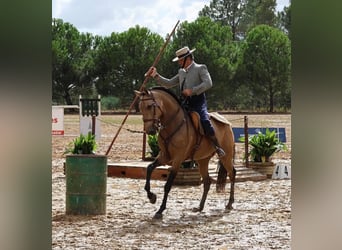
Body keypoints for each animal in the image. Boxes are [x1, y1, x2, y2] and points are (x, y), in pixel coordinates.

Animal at [135, 87, 236, 220]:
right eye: (140, 108)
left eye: (150, 106)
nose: (150, 130)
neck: (173, 124)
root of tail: (227, 124)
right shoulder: (164, 156)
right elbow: (149, 168)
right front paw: (152, 197)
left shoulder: (177, 159)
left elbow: (168, 185)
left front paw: (160, 210)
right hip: (203, 160)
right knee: (207, 181)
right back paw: (200, 207)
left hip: (226, 157)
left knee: (232, 174)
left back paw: (229, 203)